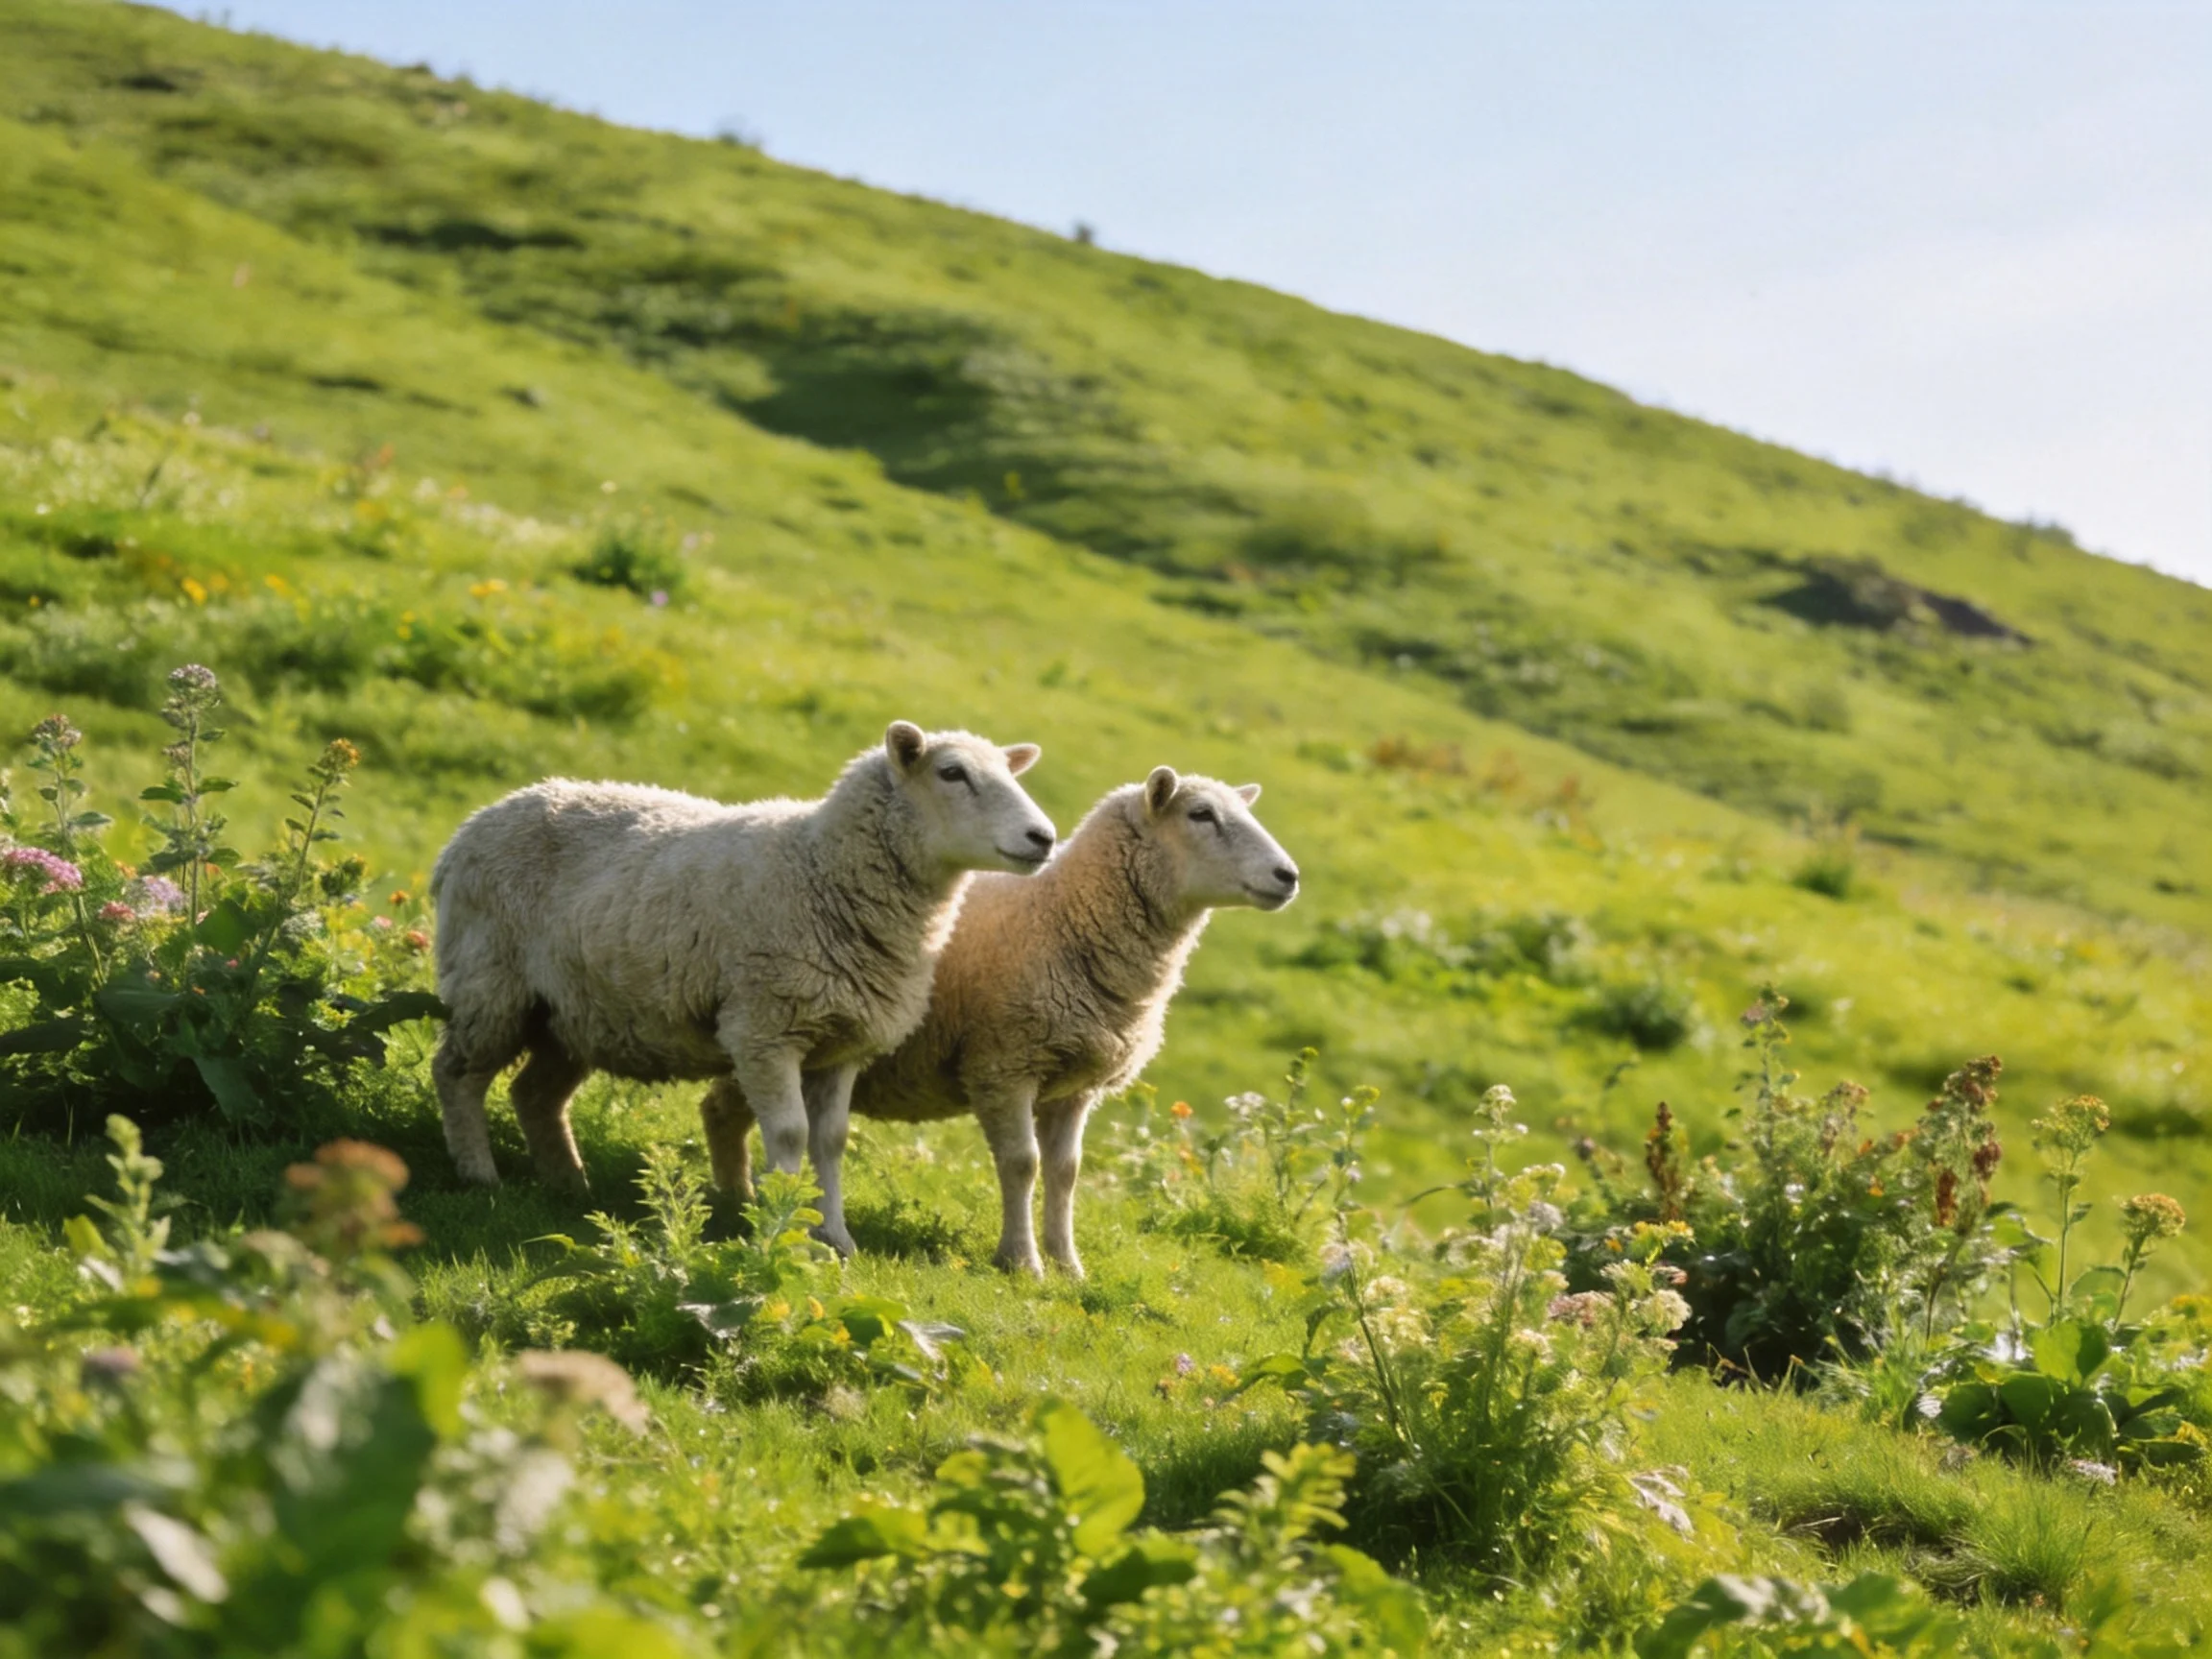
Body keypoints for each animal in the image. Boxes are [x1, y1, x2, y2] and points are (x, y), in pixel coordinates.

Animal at [428, 720, 1055, 1250]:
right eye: (952, 773)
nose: (1043, 837)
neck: (821, 869)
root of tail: (470, 828)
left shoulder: (842, 1045)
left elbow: (830, 1142)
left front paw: (836, 1238)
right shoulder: (763, 1029)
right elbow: (790, 1135)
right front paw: (783, 1232)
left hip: (573, 1012)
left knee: (535, 1094)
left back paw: (567, 1185)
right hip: (491, 983)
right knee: (457, 1073)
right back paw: (480, 1175)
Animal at [700, 766, 1300, 1276]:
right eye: (1201, 814)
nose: (1289, 875)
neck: (1065, 918)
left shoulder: (1075, 1087)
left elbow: (1066, 1172)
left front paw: (1068, 1265)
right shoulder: (1004, 1064)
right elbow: (1022, 1164)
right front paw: (1022, 1262)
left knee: (720, 1112)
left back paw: (735, 1201)